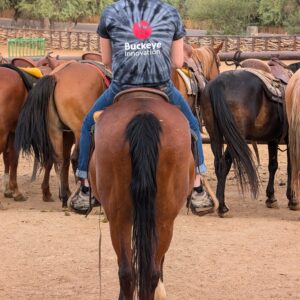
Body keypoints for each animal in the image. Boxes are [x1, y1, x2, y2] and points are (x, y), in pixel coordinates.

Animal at [15, 60, 109, 206]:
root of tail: (57, 77)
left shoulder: (67, 134)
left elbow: (63, 161)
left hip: (56, 130)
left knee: (58, 159)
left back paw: (63, 196)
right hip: (78, 130)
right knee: (75, 158)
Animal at [200, 66, 296, 216]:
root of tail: (218, 84)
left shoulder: (273, 140)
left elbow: (273, 165)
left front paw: (271, 198)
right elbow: (291, 167)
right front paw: (292, 199)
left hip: (215, 136)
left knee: (218, 164)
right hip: (235, 137)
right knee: (224, 164)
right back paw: (222, 207)